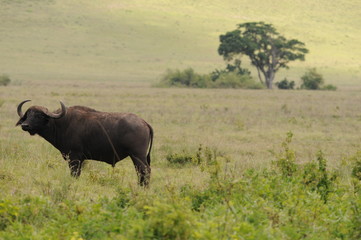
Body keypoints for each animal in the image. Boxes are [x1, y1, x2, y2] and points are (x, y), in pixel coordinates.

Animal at [15, 100, 152, 187]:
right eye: (28, 114)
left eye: (39, 116)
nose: (25, 125)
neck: (61, 124)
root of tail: (144, 122)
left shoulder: (74, 158)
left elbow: (75, 174)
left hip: (138, 156)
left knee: (144, 171)